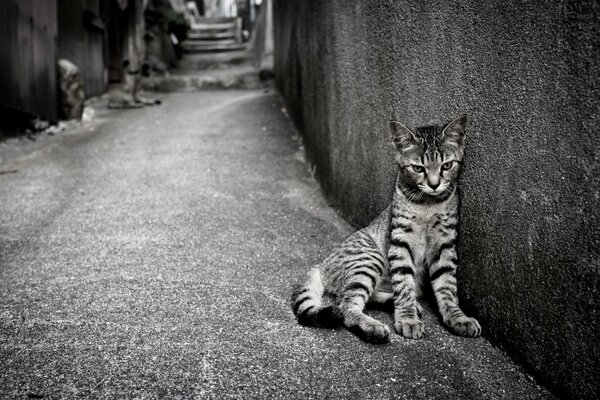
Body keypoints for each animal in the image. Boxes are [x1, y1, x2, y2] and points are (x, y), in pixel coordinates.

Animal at [290, 115, 478, 344]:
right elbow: (404, 283)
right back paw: (374, 325)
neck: (428, 204)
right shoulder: (400, 241)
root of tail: (322, 264)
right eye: (418, 168)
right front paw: (407, 319)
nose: (434, 184)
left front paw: (457, 317)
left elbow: (447, 286)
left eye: (447, 165)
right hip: (369, 258)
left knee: (368, 296)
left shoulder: (444, 243)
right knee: (347, 305)